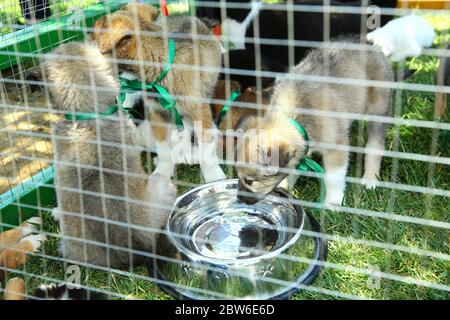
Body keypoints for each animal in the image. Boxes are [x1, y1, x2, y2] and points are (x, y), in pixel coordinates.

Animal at [92, 6, 225, 182]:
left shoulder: (199, 110)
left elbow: (206, 145)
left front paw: (214, 175)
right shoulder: (156, 112)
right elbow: (163, 148)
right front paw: (162, 172)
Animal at [237, 38, 392, 208]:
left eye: (249, 181)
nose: (239, 200)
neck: (295, 116)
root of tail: (369, 43)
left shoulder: (336, 148)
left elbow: (333, 178)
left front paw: (333, 203)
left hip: (377, 110)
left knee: (375, 146)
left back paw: (370, 178)